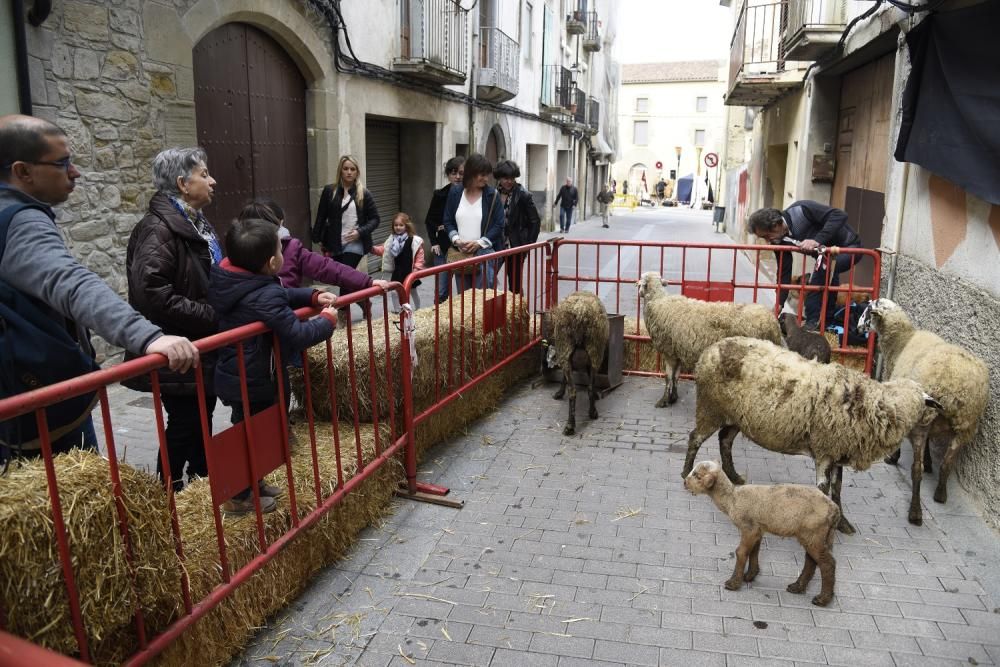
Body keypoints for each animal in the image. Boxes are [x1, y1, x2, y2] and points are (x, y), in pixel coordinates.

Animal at [548, 290, 608, 436]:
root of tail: (580, 311)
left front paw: (559, 393)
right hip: (594, 349)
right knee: (588, 387)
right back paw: (590, 414)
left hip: (568, 346)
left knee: (574, 390)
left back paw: (571, 425)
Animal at [636, 272, 784, 408]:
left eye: (642, 282)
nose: (638, 290)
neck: (657, 301)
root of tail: (773, 323)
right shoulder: (677, 352)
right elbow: (676, 376)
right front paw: (673, 398)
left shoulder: (669, 351)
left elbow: (668, 377)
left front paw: (664, 400)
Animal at [680, 336, 944, 536]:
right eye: (926, 405)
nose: (931, 425)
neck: (873, 406)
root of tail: (711, 348)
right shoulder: (825, 451)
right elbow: (824, 489)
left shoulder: (839, 450)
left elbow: (838, 488)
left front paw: (842, 522)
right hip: (710, 407)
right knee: (695, 437)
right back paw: (686, 472)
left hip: (737, 416)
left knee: (725, 440)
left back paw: (733, 476)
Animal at [684, 462, 840, 608]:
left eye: (697, 475)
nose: (684, 482)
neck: (732, 499)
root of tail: (834, 510)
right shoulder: (757, 529)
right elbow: (754, 551)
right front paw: (750, 575)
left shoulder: (749, 528)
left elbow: (741, 552)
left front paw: (734, 583)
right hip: (819, 535)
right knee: (812, 560)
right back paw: (797, 587)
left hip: (813, 532)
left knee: (827, 563)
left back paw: (822, 599)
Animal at [856, 298, 988, 528]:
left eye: (868, 310)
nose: (857, 327)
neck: (903, 340)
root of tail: (953, 389)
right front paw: (928, 462)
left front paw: (894, 457)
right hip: (966, 424)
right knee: (947, 463)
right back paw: (940, 495)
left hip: (925, 421)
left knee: (915, 470)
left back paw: (915, 513)